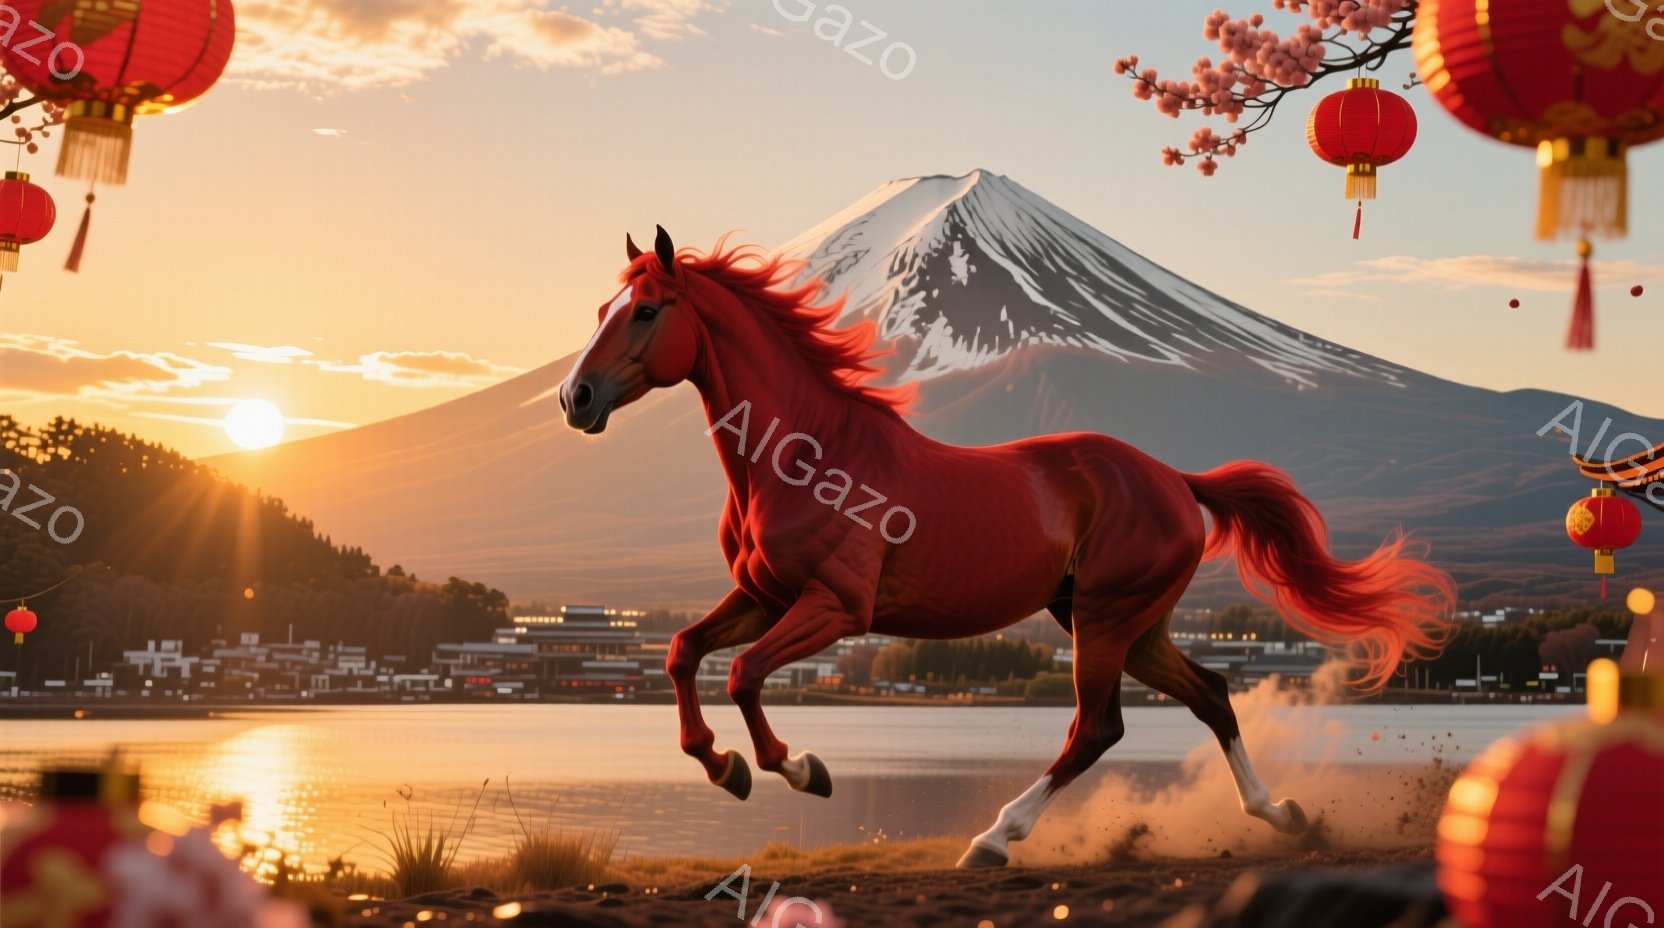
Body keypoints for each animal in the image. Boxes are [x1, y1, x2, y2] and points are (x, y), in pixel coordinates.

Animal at [557, 226, 1457, 869]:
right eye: (600, 311)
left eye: (646, 311)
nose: (576, 397)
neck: (804, 455)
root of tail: (1175, 477)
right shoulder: (761, 596)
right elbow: (681, 651)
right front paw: (723, 766)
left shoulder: (835, 607)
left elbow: (743, 673)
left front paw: (796, 768)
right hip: (1123, 621)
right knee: (1210, 693)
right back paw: (1281, 813)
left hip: (1106, 618)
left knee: (1097, 729)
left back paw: (993, 838)